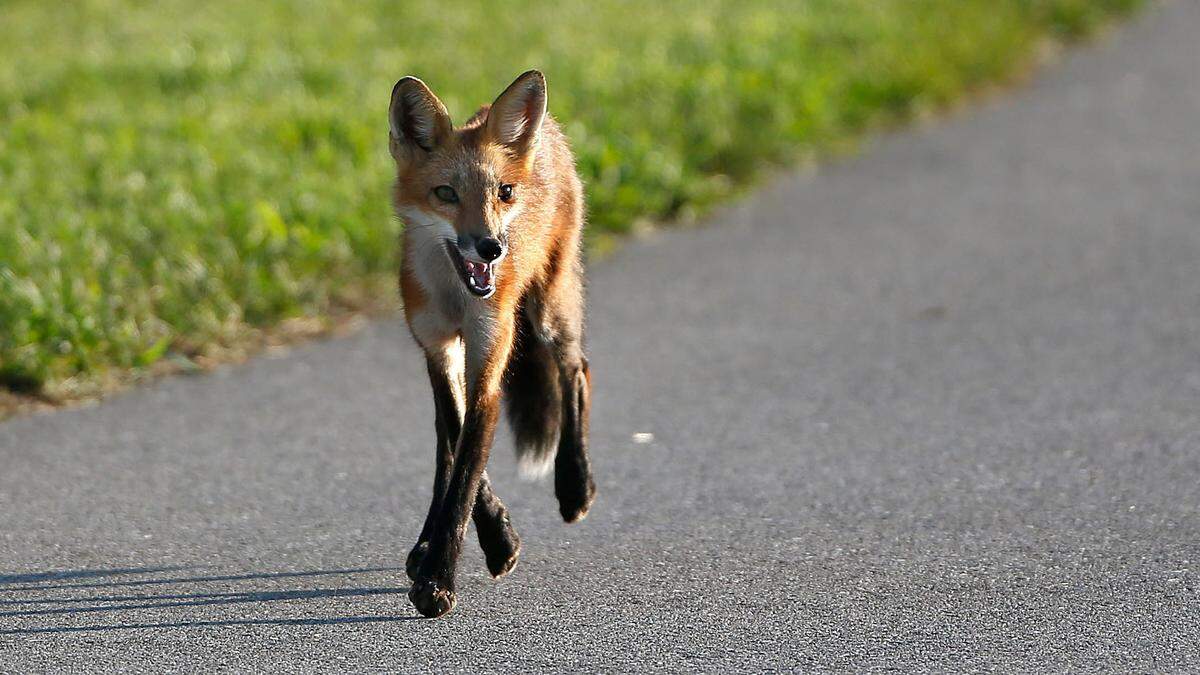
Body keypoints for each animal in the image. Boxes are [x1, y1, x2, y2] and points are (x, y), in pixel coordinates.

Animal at [388, 70, 596, 618]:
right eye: (446, 193)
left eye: (503, 192)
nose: (491, 248)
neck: (458, 299)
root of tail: (547, 132)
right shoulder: (437, 347)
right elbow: (456, 444)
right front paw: (482, 539)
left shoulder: (490, 353)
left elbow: (466, 471)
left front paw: (442, 577)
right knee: (443, 440)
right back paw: (422, 543)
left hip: (549, 312)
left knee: (578, 372)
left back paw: (574, 485)